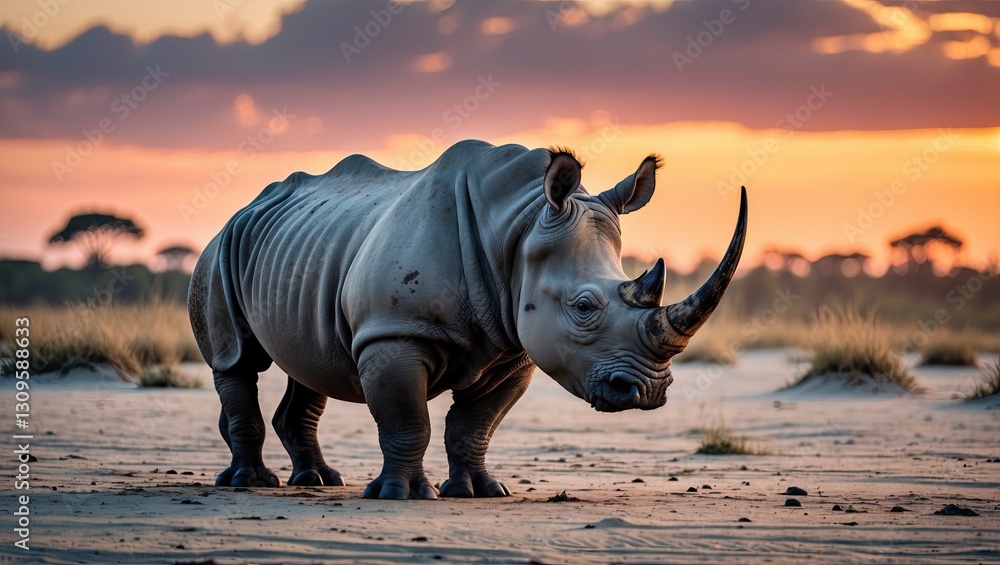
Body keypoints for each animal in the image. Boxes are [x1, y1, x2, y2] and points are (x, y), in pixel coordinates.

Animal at [188, 140, 747, 499]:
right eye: (585, 307)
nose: (648, 392)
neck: (520, 225)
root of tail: (245, 207)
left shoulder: (514, 348)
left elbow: (475, 425)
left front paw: (479, 491)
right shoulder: (394, 331)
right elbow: (407, 418)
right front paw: (403, 495)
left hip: (303, 251)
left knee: (309, 362)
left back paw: (319, 482)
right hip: (221, 248)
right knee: (237, 361)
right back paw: (250, 483)